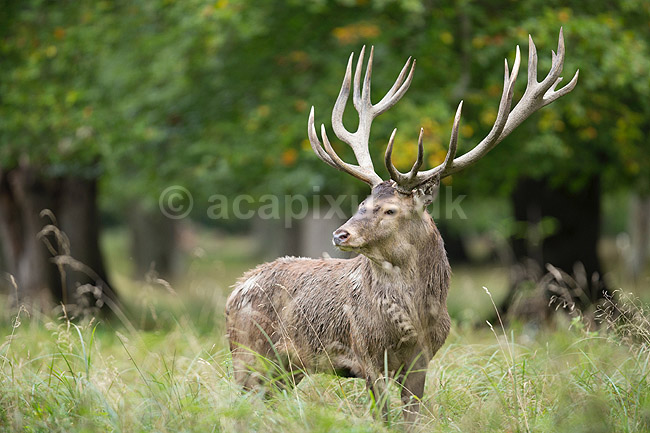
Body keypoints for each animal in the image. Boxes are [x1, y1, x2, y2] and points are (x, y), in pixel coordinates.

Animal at [226, 29, 578, 422]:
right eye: (362, 204)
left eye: (389, 210)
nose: (340, 233)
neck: (412, 321)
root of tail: (234, 292)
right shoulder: (364, 352)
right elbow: (385, 416)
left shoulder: (423, 358)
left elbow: (413, 418)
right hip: (248, 353)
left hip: (287, 368)